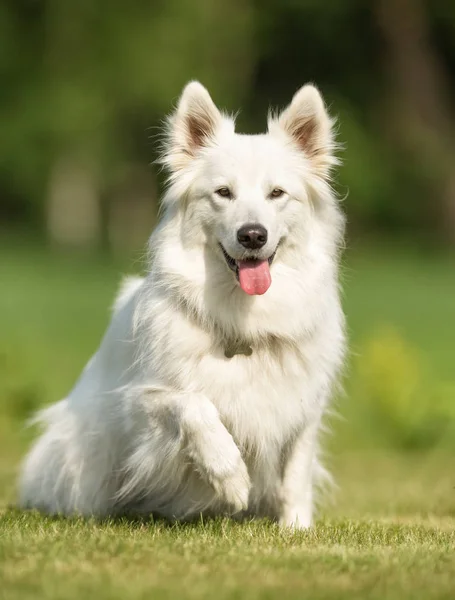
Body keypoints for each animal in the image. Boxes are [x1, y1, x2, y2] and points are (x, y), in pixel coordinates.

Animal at [18, 82, 346, 528]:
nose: (252, 235)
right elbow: (194, 406)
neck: (243, 319)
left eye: (277, 194)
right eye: (223, 193)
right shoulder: (138, 403)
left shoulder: (302, 408)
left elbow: (295, 473)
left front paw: (296, 529)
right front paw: (231, 478)